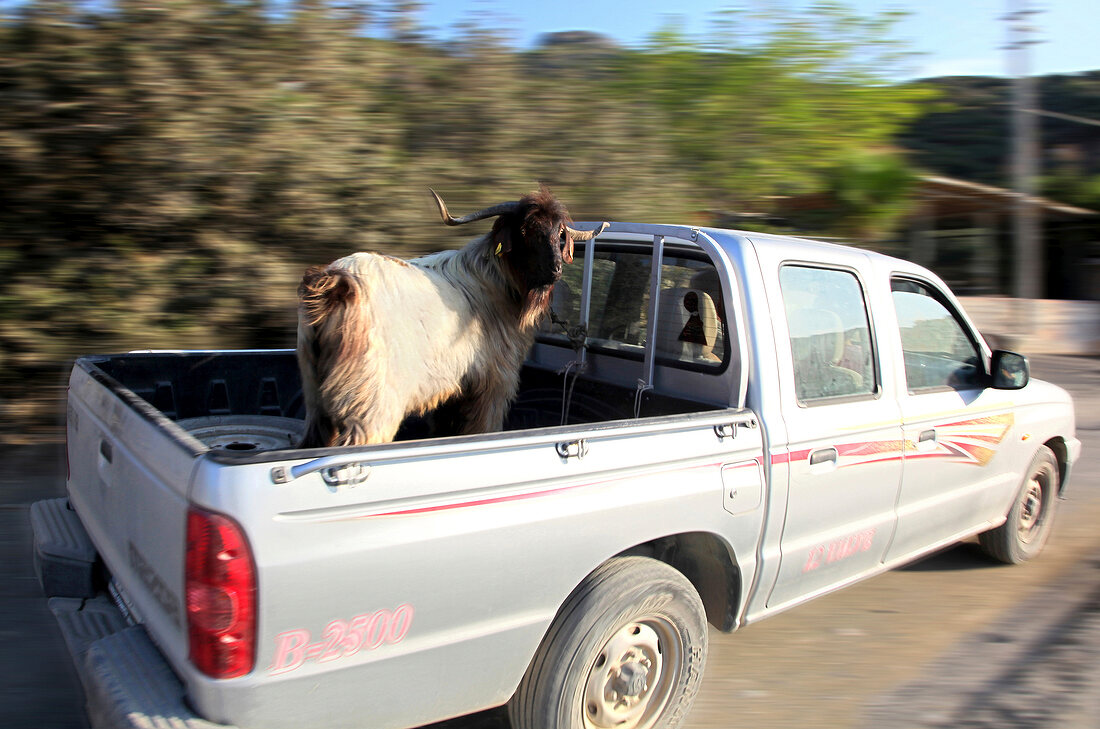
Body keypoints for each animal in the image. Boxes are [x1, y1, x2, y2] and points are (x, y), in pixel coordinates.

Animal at [297, 186, 607, 450]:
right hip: (370, 405)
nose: (555, 269)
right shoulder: (494, 382)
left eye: (560, 232)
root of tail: (336, 283)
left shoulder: (454, 389)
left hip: (317, 398)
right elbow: (482, 430)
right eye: (524, 229)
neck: (497, 281)